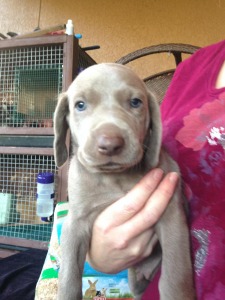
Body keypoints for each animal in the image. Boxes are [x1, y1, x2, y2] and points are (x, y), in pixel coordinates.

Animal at [53, 62, 196, 298]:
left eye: (136, 102)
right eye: (80, 105)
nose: (110, 144)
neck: (115, 177)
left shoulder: (172, 215)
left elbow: (175, 276)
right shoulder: (76, 222)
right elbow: (69, 274)